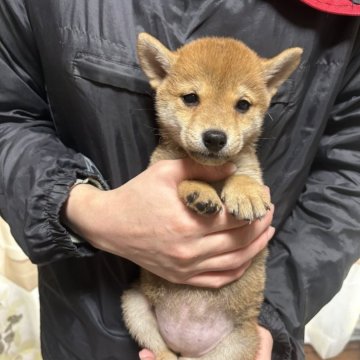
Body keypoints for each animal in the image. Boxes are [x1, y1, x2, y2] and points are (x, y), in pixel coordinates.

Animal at [121, 33, 300, 360]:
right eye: (191, 98)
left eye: (242, 105)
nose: (215, 138)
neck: (213, 172)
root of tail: (186, 347)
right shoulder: (159, 169)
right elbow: (185, 173)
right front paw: (199, 190)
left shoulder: (253, 170)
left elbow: (243, 175)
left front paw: (245, 194)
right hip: (134, 306)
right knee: (161, 351)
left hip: (236, 345)